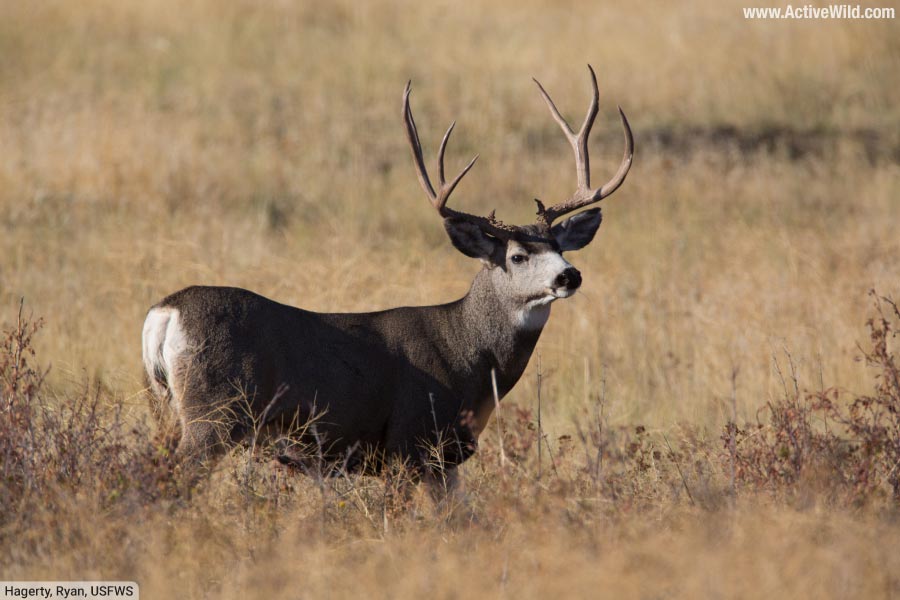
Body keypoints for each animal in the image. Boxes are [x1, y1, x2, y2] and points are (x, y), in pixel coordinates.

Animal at [141, 65, 633, 494]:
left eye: (561, 248)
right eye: (517, 255)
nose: (570, 275)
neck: (467, 352)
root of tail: (165, 312)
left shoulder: (445, 461)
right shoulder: (410, 442)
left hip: (164, 406)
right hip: (212, 414)